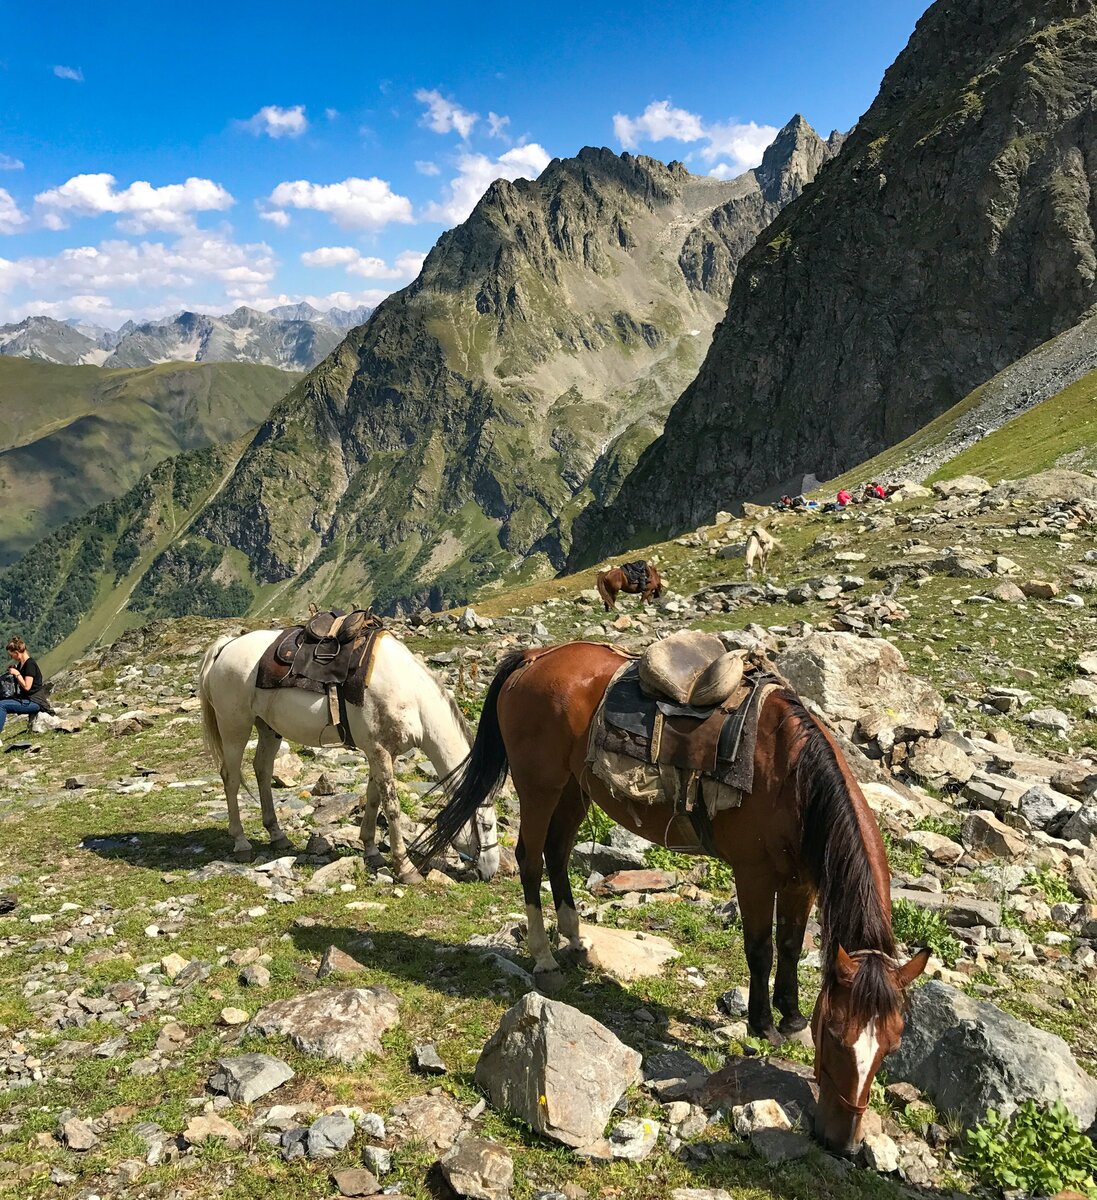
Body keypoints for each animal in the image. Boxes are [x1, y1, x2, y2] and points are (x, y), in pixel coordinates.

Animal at [198, 628, 499, 883]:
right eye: (485, 825)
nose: (492, 871)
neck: (410, 696)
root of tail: (226, 646)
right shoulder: (379, 751)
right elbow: (392, 807)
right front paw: (405, 868)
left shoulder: (382, 752)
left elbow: (374, 798)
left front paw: (372, 851)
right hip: (234, 726)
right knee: (231, 777)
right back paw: (240, 841)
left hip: (268, 728)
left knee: (262, 769)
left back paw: (277, 834)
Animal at [415, 638, 926, 1152]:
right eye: (837, 1036)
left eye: (892, 1044)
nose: (842, 1143)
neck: (791, 778)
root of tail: (535, 657)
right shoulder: (754, 874)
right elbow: (760, 949)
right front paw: (763, 1024)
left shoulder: (801, 880)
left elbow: (789, 947)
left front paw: (792, 1019)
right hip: (540, 786)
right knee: (531, 859)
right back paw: (544, 958)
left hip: (575, 788)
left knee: (557, 854)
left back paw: (575, 939)